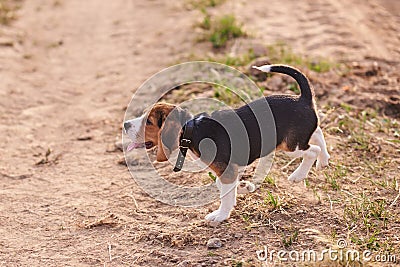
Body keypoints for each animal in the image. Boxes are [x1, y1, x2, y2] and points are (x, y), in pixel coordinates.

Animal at [123, 65, 330, 224]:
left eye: (149, 122)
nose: (125, 124)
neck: (192, 130)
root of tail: (302, 99)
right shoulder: (229, 170)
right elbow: (223, 187)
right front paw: (236, 195)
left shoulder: (227, 171)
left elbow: (225, 194)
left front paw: (221, 215)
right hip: (299, 139)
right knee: (318, 134)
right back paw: (324, 161)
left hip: (290, 147)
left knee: (312, 150)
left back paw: (299, 174)